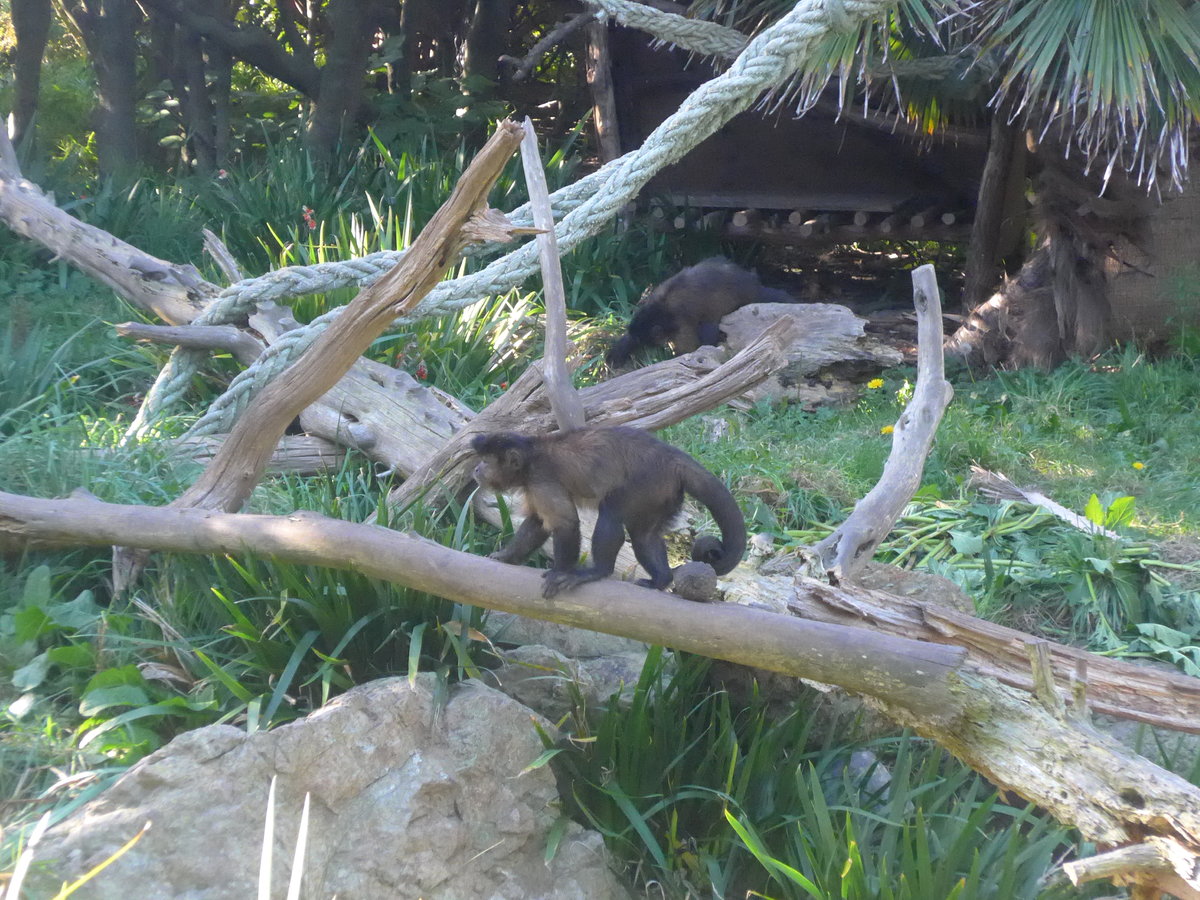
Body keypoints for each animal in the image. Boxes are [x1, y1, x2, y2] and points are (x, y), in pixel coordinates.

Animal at [471, 426, 746, 599]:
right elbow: (538, 523)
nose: (476, 469)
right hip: (662, 492)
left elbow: (565, 523)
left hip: (647, 481)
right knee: (644, 536)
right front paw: (506, 556)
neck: (530, 457)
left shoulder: (541, 479)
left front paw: (561, 572)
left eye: (486, 461)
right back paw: (661, 579)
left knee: (611, 513)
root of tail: (673, 457)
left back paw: (598, 572)